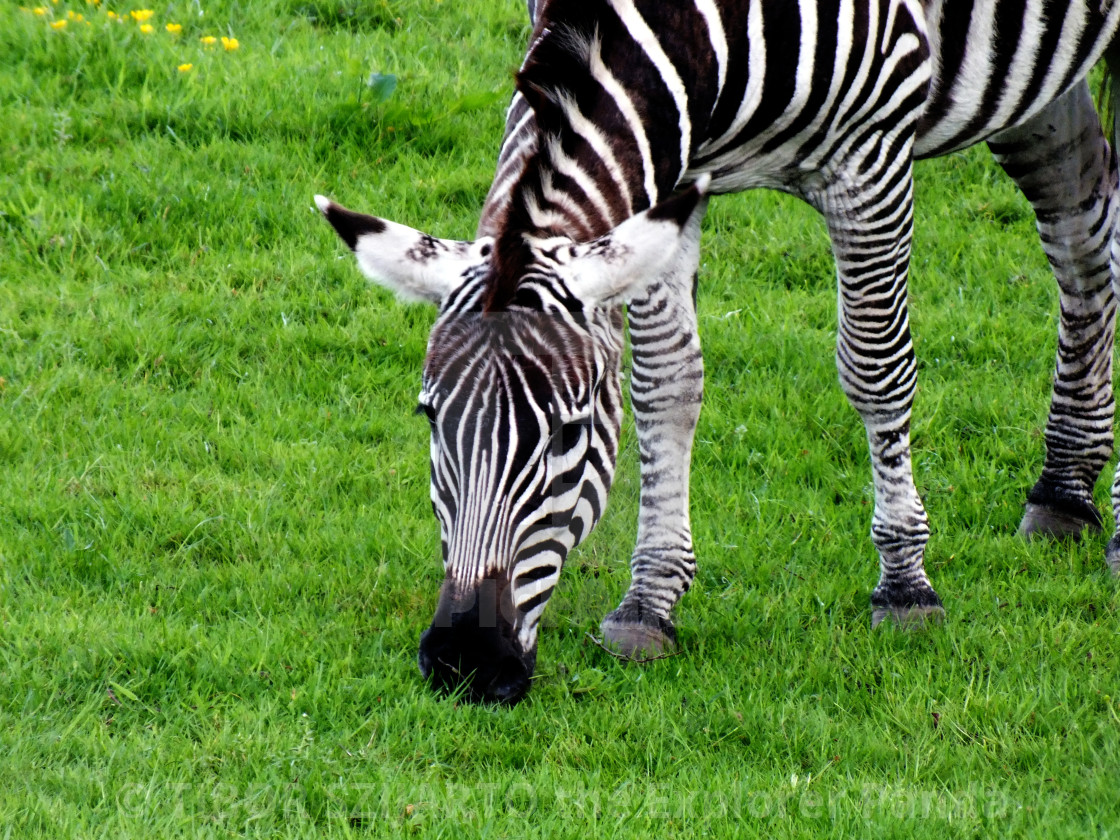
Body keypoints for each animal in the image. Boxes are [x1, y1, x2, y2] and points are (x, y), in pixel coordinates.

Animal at [313, 0, 1120, 712]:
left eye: (570, 434)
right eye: (429, 418)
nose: (466, 665)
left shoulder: (872, 151)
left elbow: (876, 367)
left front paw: (905, 586)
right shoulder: (667, 173)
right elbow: (665, 385)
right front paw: (650, 603)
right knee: (1081, 224)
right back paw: (1064, 490)